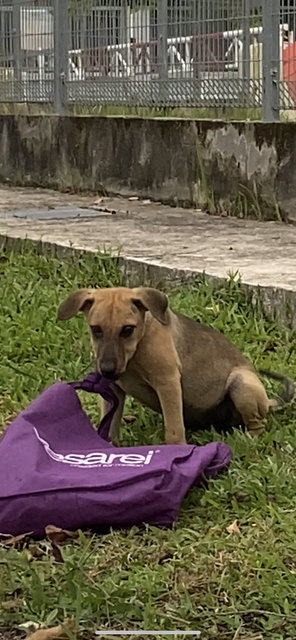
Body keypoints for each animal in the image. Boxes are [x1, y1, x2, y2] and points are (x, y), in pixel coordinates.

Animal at [57, 286, 294, 442]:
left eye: (127, 329)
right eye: (95, 329)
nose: (106, 370)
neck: (136, 351)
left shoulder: (167, 383)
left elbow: (173, 431)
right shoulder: (113, 390)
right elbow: (109, 424)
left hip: (242, 383)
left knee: (258, 425)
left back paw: (248, 439)